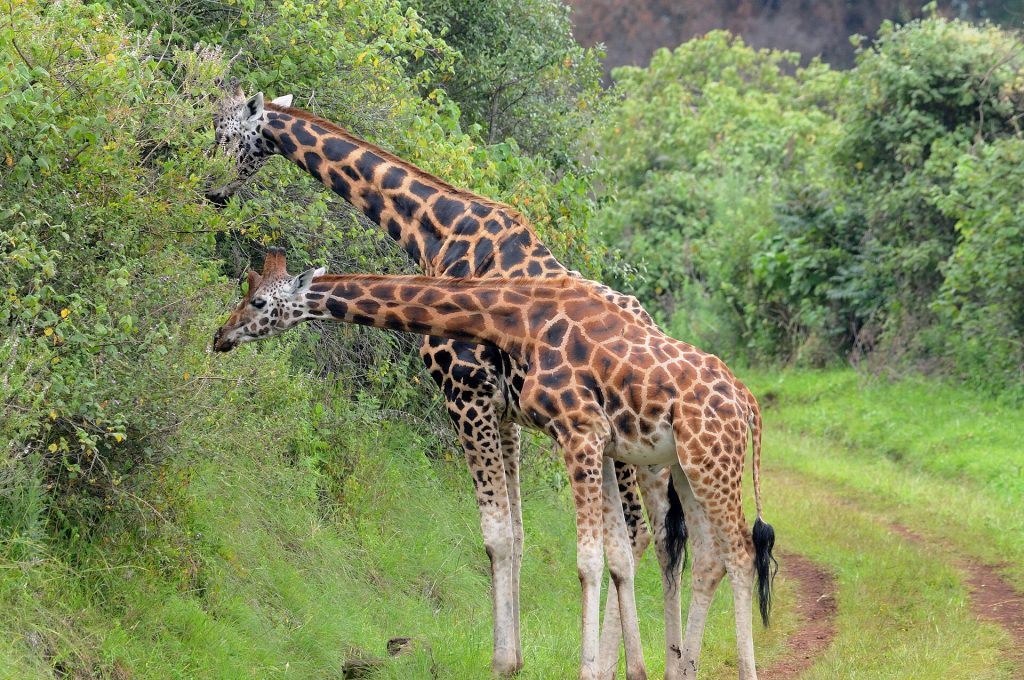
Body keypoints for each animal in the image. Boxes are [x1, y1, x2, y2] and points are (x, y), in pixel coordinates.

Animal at [205, 80, 686, 676]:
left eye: (226, 134)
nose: (211, 189)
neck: (439, 234)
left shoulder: (464, 390)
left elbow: (496, 536)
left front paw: (502, 660)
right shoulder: (505, 411)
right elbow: (518, 533)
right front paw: (516, 656)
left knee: (644, 535)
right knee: (654, 538)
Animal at [212, 250, 777, 680]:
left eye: (258, 301)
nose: (221, 335)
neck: (517, 318)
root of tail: (749, 402)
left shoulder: (579, 431)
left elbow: (587, 561)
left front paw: (584, 670)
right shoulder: (596, 440)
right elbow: (612, 552)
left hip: (711, 462)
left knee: (741, 552)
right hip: (686, 465)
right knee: (709, 557)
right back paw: (687, 669)